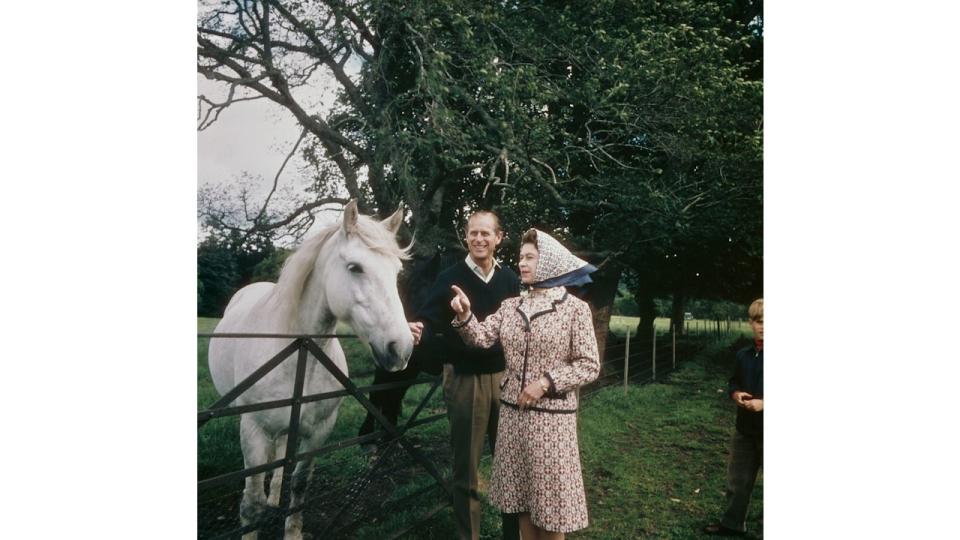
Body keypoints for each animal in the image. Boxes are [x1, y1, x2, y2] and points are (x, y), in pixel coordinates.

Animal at [210, 200, 412, 536]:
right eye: (355, 267)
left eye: (397, 272)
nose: (402, 348)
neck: (300, 352)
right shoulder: (253, 431)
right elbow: (251, 503)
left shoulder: (319, 432)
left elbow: (300, 485)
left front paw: (292, 531)